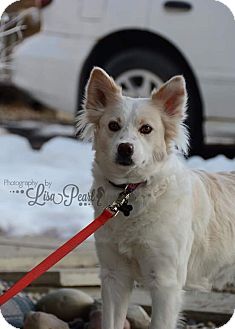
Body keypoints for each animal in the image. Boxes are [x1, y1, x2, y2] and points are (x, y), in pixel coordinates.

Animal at [76, 67, 235, 328]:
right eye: (113, 125)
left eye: (146, 129)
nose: (125, 148)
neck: (131, 191)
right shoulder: (114, 276)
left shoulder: (165, 283)